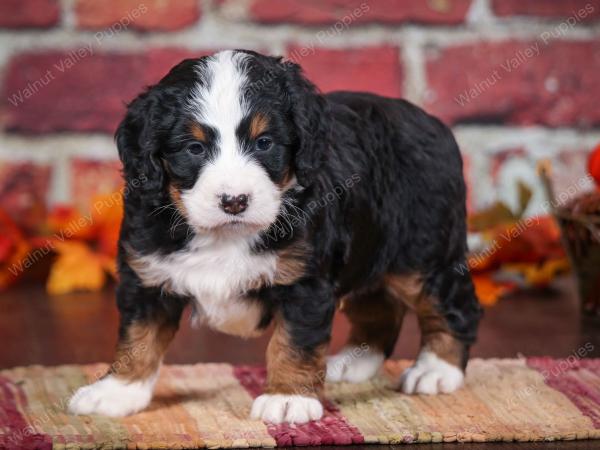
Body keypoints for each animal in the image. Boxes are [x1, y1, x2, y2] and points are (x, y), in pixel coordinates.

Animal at [69, 50, 482, 426]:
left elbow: (293, 343)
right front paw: (117, 391)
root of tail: (431, 122)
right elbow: (137, 339)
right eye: (194, 148)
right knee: (378, 307)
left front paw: (288, 398)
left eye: (264, 142)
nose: (234, 200)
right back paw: (356, 362)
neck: (225, 236)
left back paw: (437, 370)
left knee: (452, 305)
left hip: (422, 256)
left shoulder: (305, 282)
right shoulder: (147, 275)